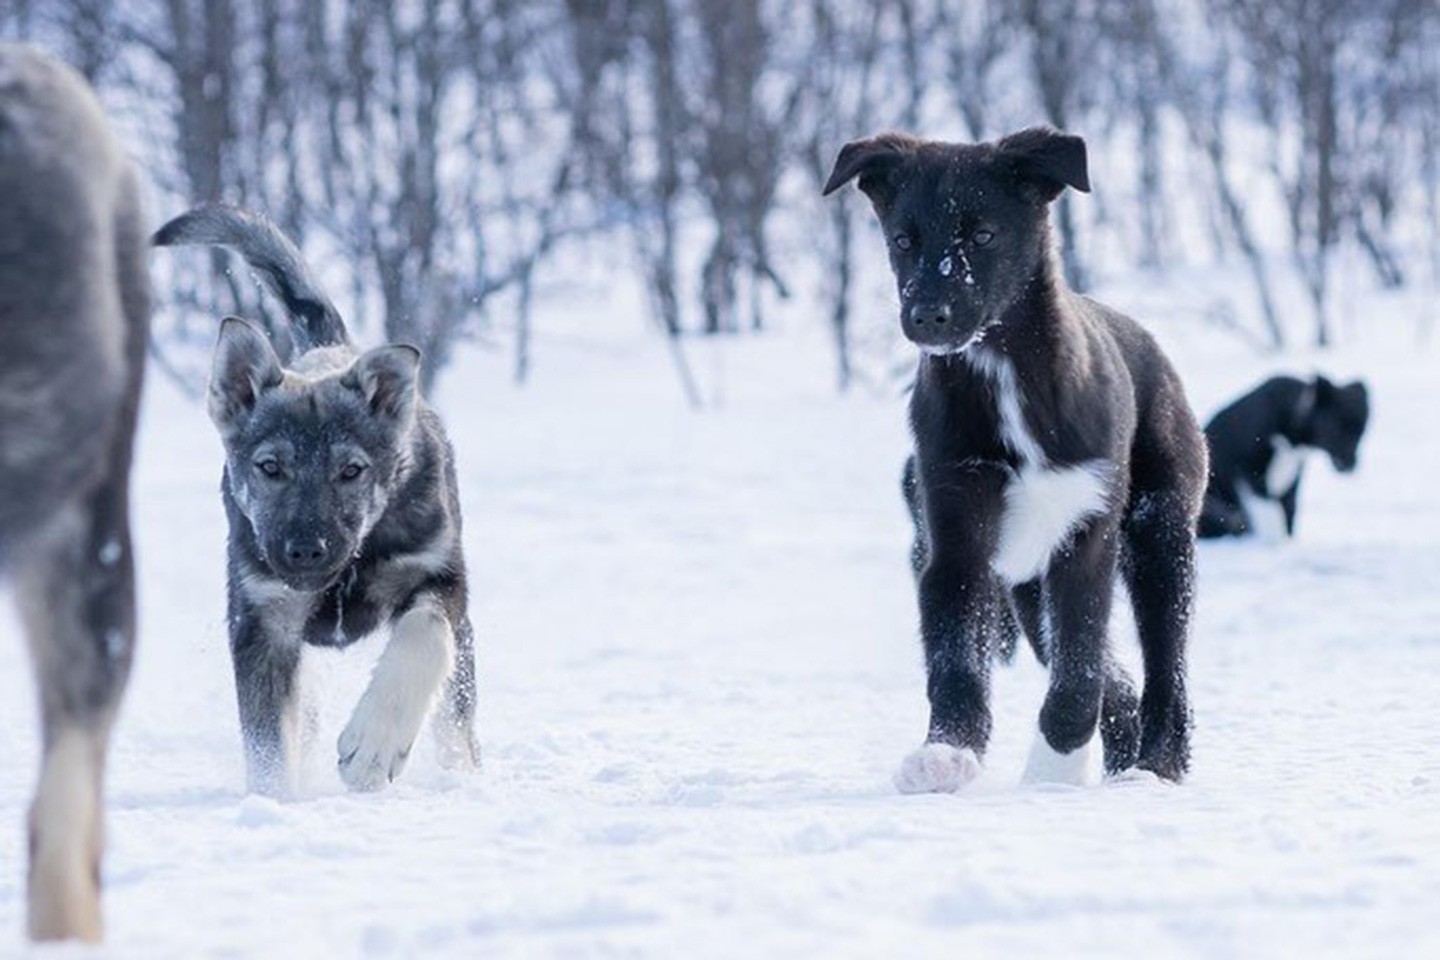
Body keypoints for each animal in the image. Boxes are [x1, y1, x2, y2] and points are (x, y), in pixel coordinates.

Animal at [153, 207, 478, 800]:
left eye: (351, 471)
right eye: (269, 467)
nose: (305, 551)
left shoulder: (438, 577)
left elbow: (422, 639)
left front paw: (372, 747)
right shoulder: (264, 619)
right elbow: (268, 742)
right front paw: (275, 801)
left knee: (455, 716)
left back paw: (461, 777)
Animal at [829, 127, 1209, 794]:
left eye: (983, 235)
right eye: (903, 240)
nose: (927, 316)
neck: (1002, 368)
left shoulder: (1087, 535)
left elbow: (1080, 672)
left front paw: (1051, 769)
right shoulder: (956, 535)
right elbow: (957, 658)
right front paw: (946, 752)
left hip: (1159, 535)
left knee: (1167, 668)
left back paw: (1155, 766)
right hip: (1029, 585)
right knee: (1115, 680)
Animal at [1198, 374, 1365, 541]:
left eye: (1360, 434)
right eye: (1337, 430)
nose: (1351, 465)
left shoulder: (1292, 479)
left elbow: (1289, 512)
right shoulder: (1252, 473)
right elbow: (1269, 515)